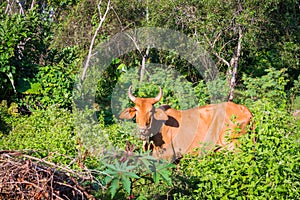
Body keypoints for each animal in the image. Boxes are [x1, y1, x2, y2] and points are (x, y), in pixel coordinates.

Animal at [118, 85, 252, 161]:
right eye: (136, 110)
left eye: (151, 111)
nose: (142, 130)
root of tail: (244, 109)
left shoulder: (169, 157)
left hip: (233, 146)